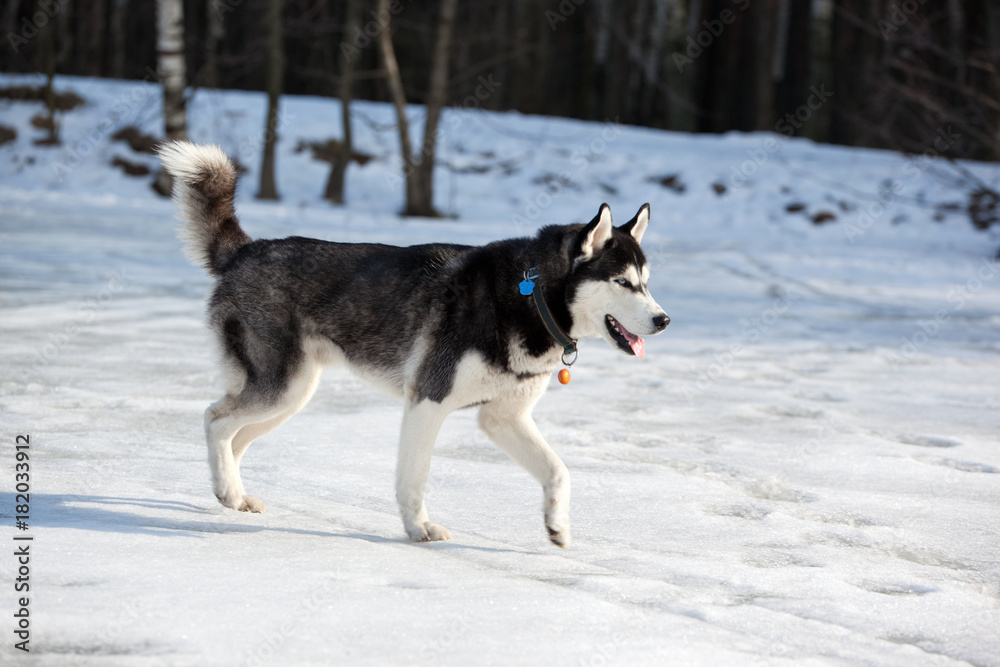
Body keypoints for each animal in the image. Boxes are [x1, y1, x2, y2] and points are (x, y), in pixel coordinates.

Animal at [160, 141, 668, 548]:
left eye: (646, 282)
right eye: (622, 282)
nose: (663, 320)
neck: (532, 297)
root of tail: (247, 249)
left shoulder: (502, 417)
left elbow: (558, 471)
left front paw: (557, 526)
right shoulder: (429, 400)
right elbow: (414, 478)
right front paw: (418, 529)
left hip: (292, 394)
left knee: (234, 435)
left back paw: (232, 493)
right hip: (281, 387)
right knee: (215, 419)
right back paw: (228, 489)